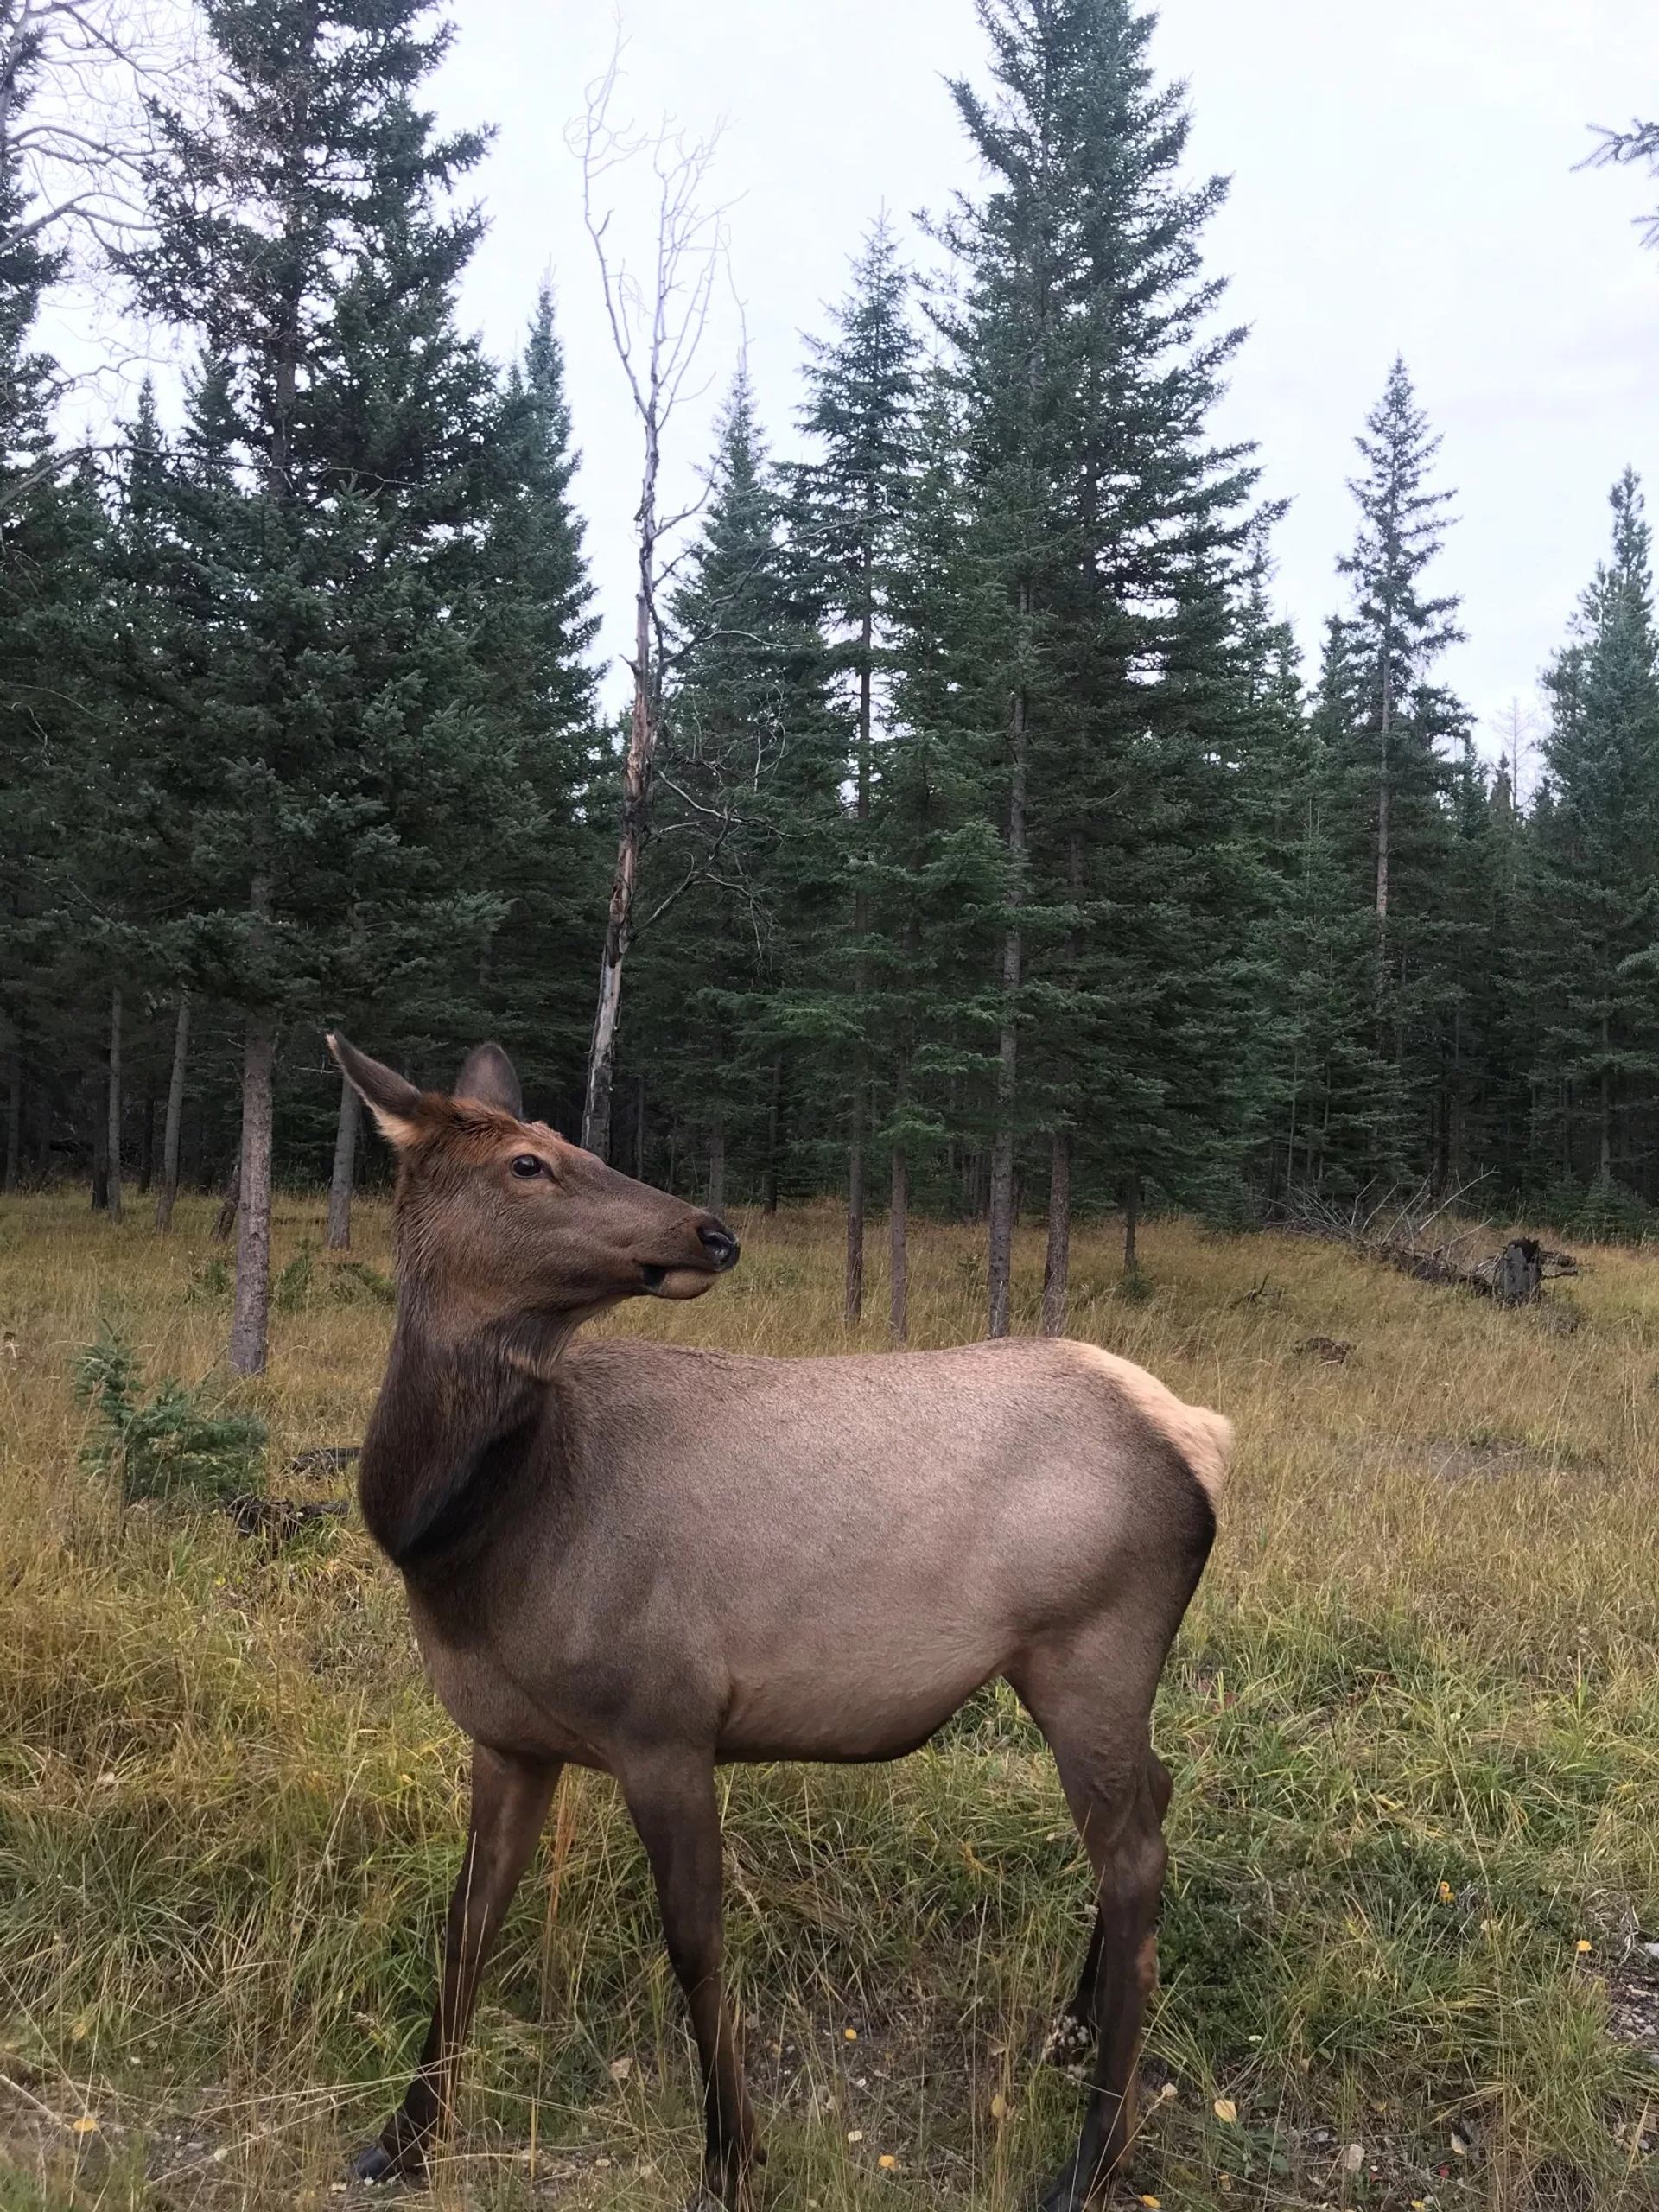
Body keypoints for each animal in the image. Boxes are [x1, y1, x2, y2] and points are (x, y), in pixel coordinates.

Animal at [327, 1033, 1231, 2212]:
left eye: (571, 1145)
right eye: (529, 1162)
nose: (709, 1229)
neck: (470, 1538)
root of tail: (1200, 1434)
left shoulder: (664, 1722)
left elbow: (696, 1941)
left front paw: (732, 2155)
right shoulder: (507, 1737)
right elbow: (467, 1925)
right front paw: (403, 2139)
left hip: (1091, 1651)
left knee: (1135, 1858)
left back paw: (1087, 2160)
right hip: (1089, 1673)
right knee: (1152, 1806)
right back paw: (1072, 2031)